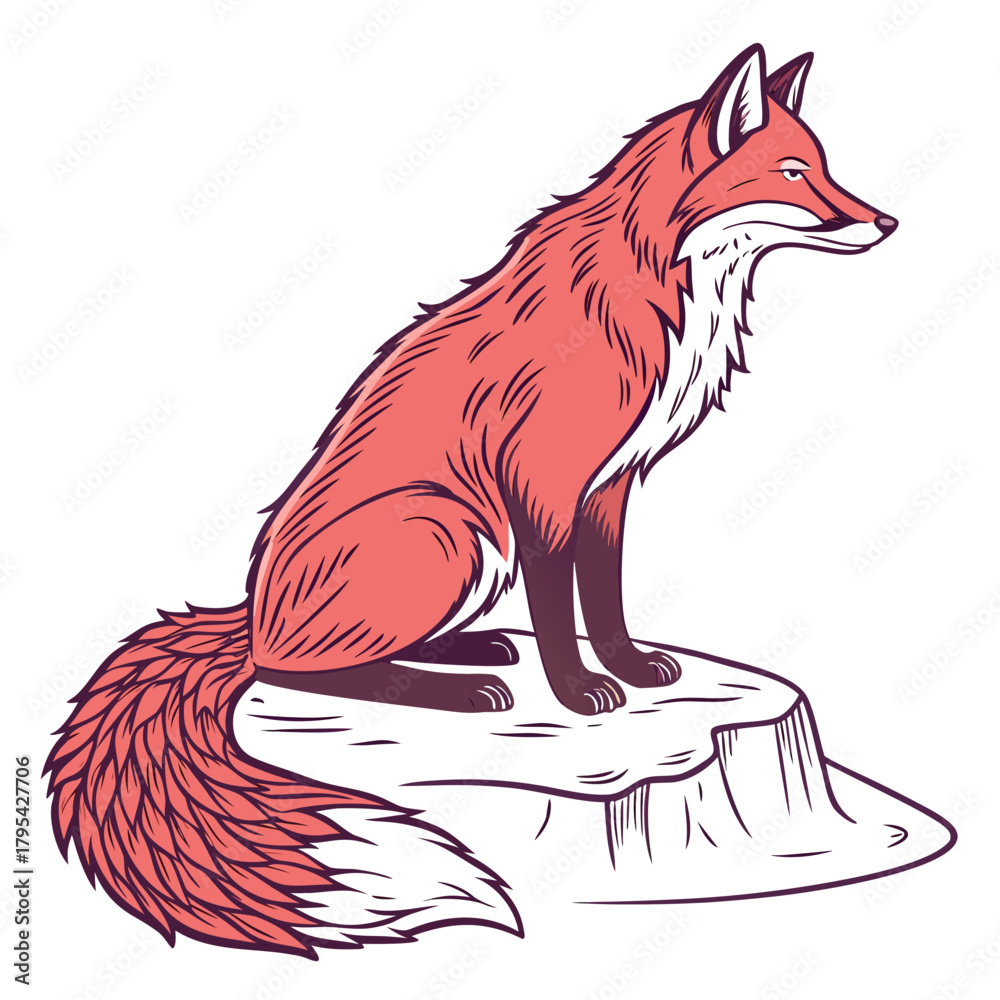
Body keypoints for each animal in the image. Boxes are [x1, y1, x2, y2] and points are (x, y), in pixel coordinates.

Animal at [46, 45, 896, 956]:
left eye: (825, 166)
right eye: (793, 172)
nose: (886, 223)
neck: (667, 291)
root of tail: (247, 612)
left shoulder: (610, 484)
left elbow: (604, 595)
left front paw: (630, 668)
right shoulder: (543, 484)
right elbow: (558, 611)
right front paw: (580, 693)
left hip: (473, 553)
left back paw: (473, 651)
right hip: (447, 530)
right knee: (305, 670)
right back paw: (458, 687)